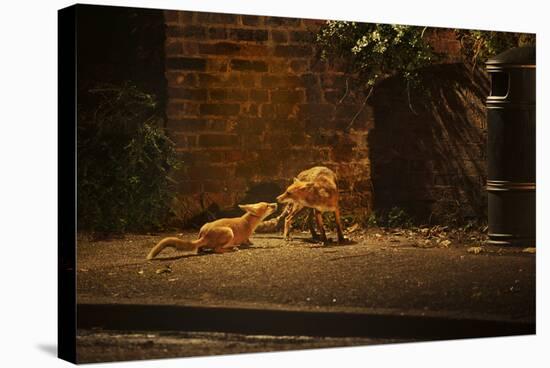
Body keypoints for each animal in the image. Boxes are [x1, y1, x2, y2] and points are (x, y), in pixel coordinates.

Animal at [147, 201, 278, 258]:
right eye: (267, 206)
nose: (276, 204)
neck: (248, 221)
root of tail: (205, 235)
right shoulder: (245, 238)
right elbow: (247, 242)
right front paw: (249, 244)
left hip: (204, 228)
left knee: (199, 250)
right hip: (229, 232)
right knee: (217, 250)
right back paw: (232, 249)